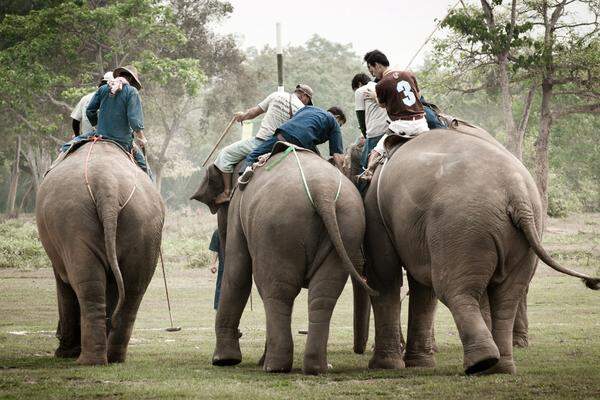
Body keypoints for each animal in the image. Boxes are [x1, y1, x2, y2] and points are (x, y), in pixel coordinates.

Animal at [37, 141, 164, 366]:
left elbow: (63, 283)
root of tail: (108, 186)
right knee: (133, 289)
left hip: (73, 221)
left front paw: (63, 353)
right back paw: (112, 357)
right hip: (144, 223)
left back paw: (87, 360)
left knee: (88, 284)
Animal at [192, 148, 372, 376]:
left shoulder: (237, 209)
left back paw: (274, 366)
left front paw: (224, 360)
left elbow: (237, 273)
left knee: (277, 291)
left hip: (276, 228)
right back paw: (316, 367)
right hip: (347, 225)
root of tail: (323, 191)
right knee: (323, 294)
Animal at [352, 124, 596, 376]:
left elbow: (385, 277)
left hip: (460, 227)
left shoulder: (377, 215)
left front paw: (386, 366)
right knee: (506, 296)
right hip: (521, 231)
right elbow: (419, 287)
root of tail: (517, 194)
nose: (359, 351)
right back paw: (499, 367)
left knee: (454, 289)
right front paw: (418, 364)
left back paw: (482, 363)